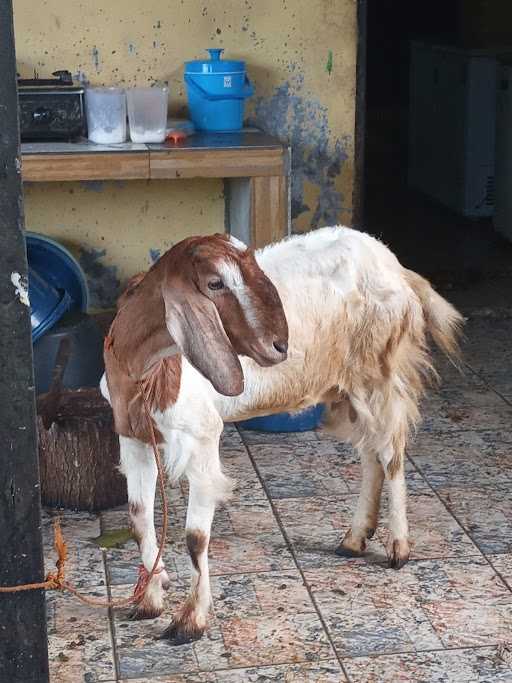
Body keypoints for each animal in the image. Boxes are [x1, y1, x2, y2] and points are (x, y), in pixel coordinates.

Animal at [100, 228, 464, 648]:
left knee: (391, 454)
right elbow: (139, 518)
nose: (279, 346)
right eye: (215, 283)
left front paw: (190, 621)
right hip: (350, 388)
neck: (143, 369)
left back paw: (399, 548)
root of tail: (396, 267)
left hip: (379, 374)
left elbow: (195, 537)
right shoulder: (133, 438)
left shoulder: (202, 436)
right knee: (370, 454)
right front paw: (150, 599)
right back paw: (355, 539)